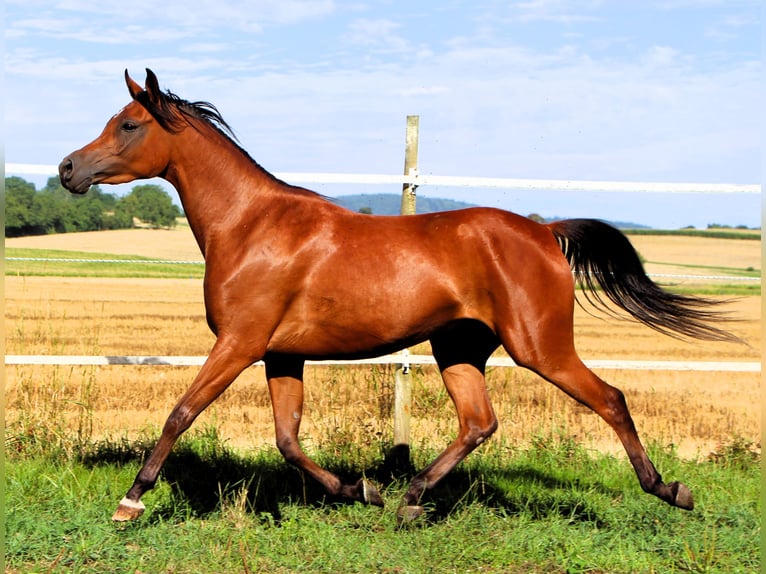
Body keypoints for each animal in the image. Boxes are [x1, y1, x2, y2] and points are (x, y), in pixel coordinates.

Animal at [59, 69, 740, 523]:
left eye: (128, 124)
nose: (68, 169)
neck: (251, 226)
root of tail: (545, 231)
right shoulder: (281, 353)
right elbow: (287, 439)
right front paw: (360, 490)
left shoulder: (240, 342)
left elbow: (181, 412)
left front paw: (130, 500)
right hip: (458, 347)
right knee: (479, 421)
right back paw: (410, 499)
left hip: (539, 347)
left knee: (610, 399)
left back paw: (670, 490)